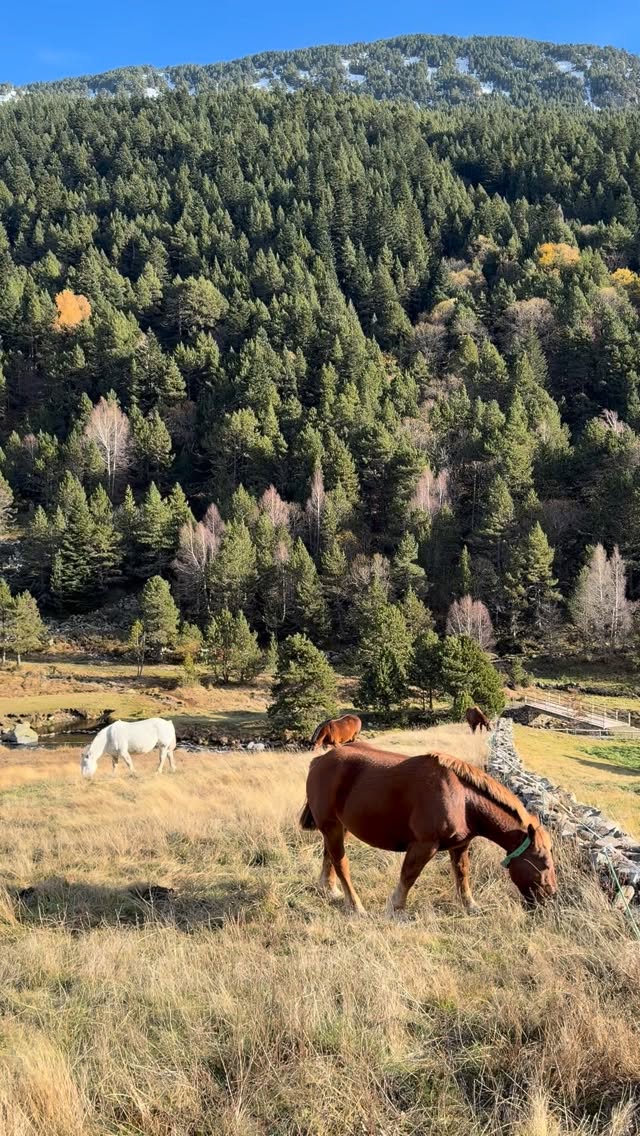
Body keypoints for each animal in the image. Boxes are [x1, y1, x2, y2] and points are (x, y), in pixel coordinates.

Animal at [300, 740, 556, 916]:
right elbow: (409, 876)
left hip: (338, 827)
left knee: (329, 856)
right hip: (332, 827)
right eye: (544, 865)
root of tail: (319, 761)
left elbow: (462, 874)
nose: (551, 896)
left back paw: (329, 889)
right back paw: (356, 906)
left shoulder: (460, 845)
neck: (462, 799)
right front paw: (396, 908)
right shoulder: (424, 846)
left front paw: (470, 905)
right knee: (341, 862)